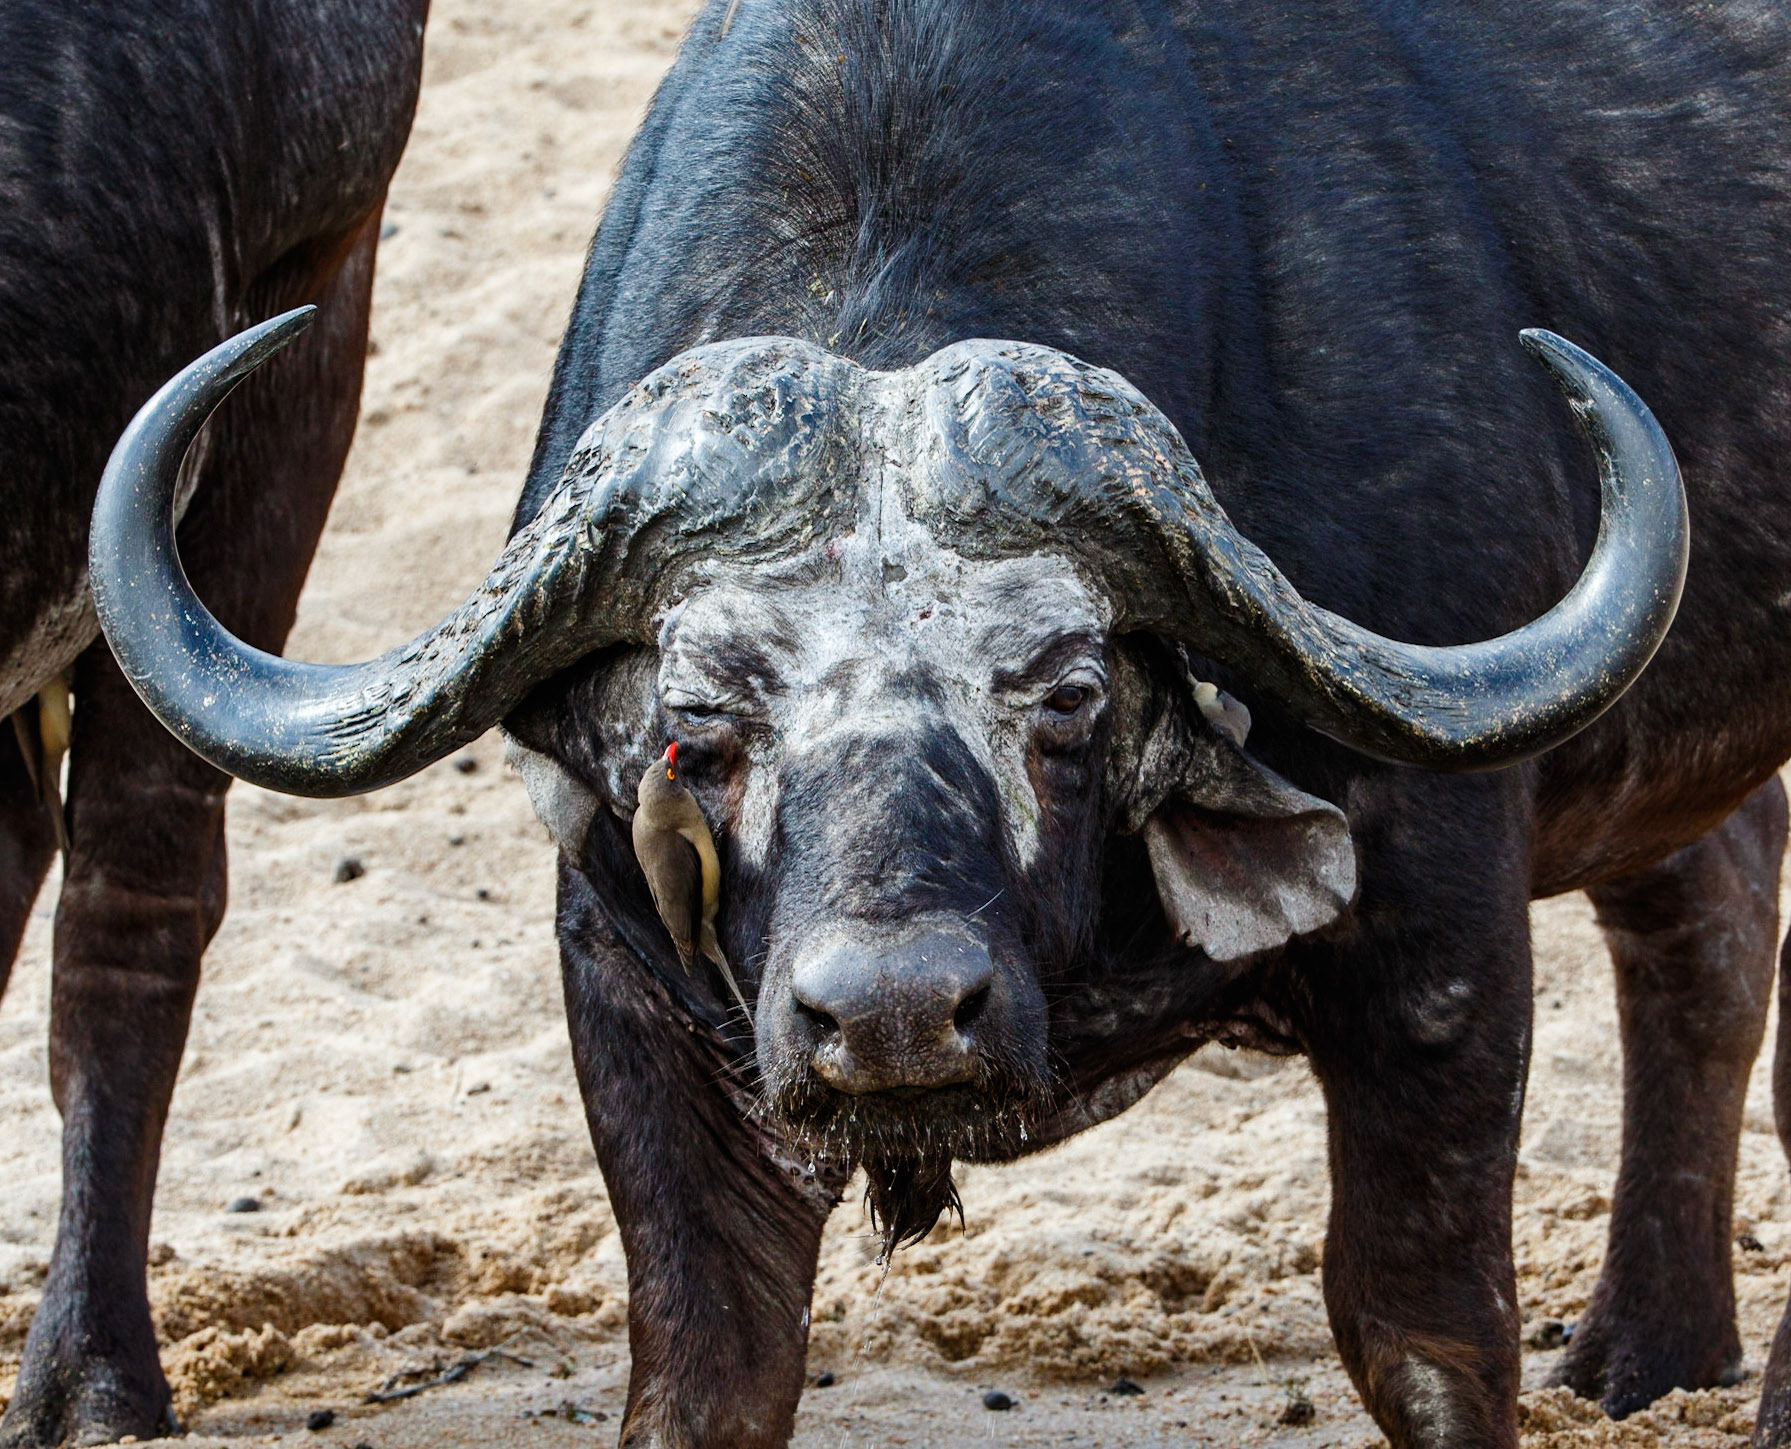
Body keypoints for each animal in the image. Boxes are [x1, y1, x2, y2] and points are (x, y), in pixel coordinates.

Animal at [87, 2, 1791, 1447]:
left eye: (1069, 692)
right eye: (698, 715)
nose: (896, 1015)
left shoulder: (1433, 944)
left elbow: (1420, 1336)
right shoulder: (634, 998)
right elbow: (708, 1369)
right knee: (1702, 922)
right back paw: (1648, 1349)